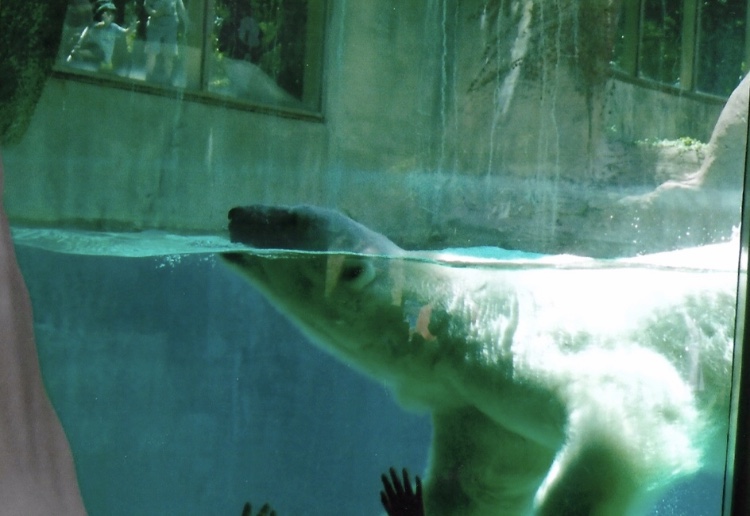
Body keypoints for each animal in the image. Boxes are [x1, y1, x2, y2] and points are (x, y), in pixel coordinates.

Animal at [221, 204, 736, 516]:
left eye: (289, 218)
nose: (235, 213)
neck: (461, 312)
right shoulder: (482, 409)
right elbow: (479, 480)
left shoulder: (536, 343)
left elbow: (628, 417)